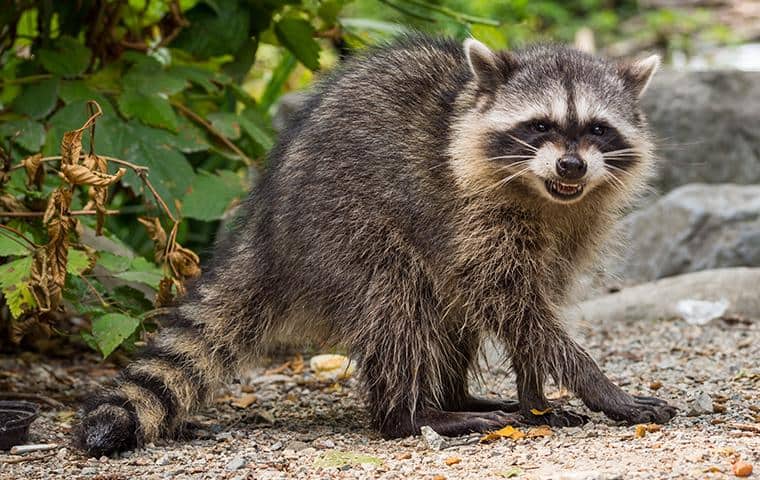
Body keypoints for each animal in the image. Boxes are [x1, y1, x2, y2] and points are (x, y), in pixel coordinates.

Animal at [72, 35, 676, 456]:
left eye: (597, 129)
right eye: (540, 126)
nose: (571, 165)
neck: (545, 195)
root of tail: (266, 233)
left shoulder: (573, 228)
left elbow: (530, 306)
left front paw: (536, 397)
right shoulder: (471, 214)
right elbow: (512, 305)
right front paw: (596, 386)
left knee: (444, 313)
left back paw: (457, 396)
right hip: (345, 230)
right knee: (397, 305)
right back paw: (415, 416)